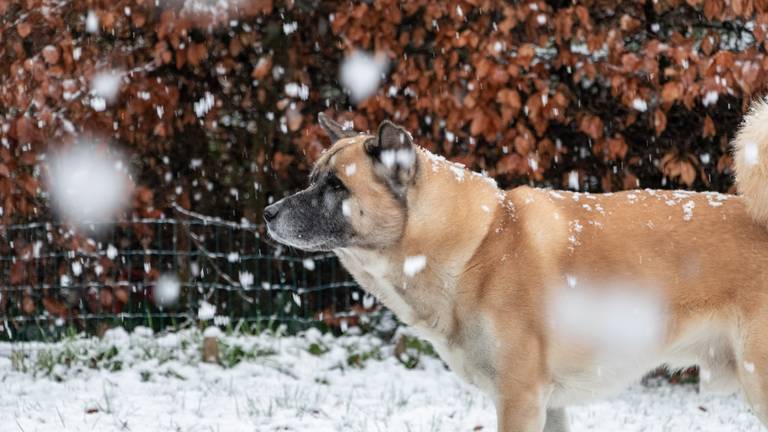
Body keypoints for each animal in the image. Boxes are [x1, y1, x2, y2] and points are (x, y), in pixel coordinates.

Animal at [264, 98, 768, 432]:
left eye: (336, 186)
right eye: (314, 179)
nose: (268, 213)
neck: (478, 245)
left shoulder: (520, 398)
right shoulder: (549, 405)